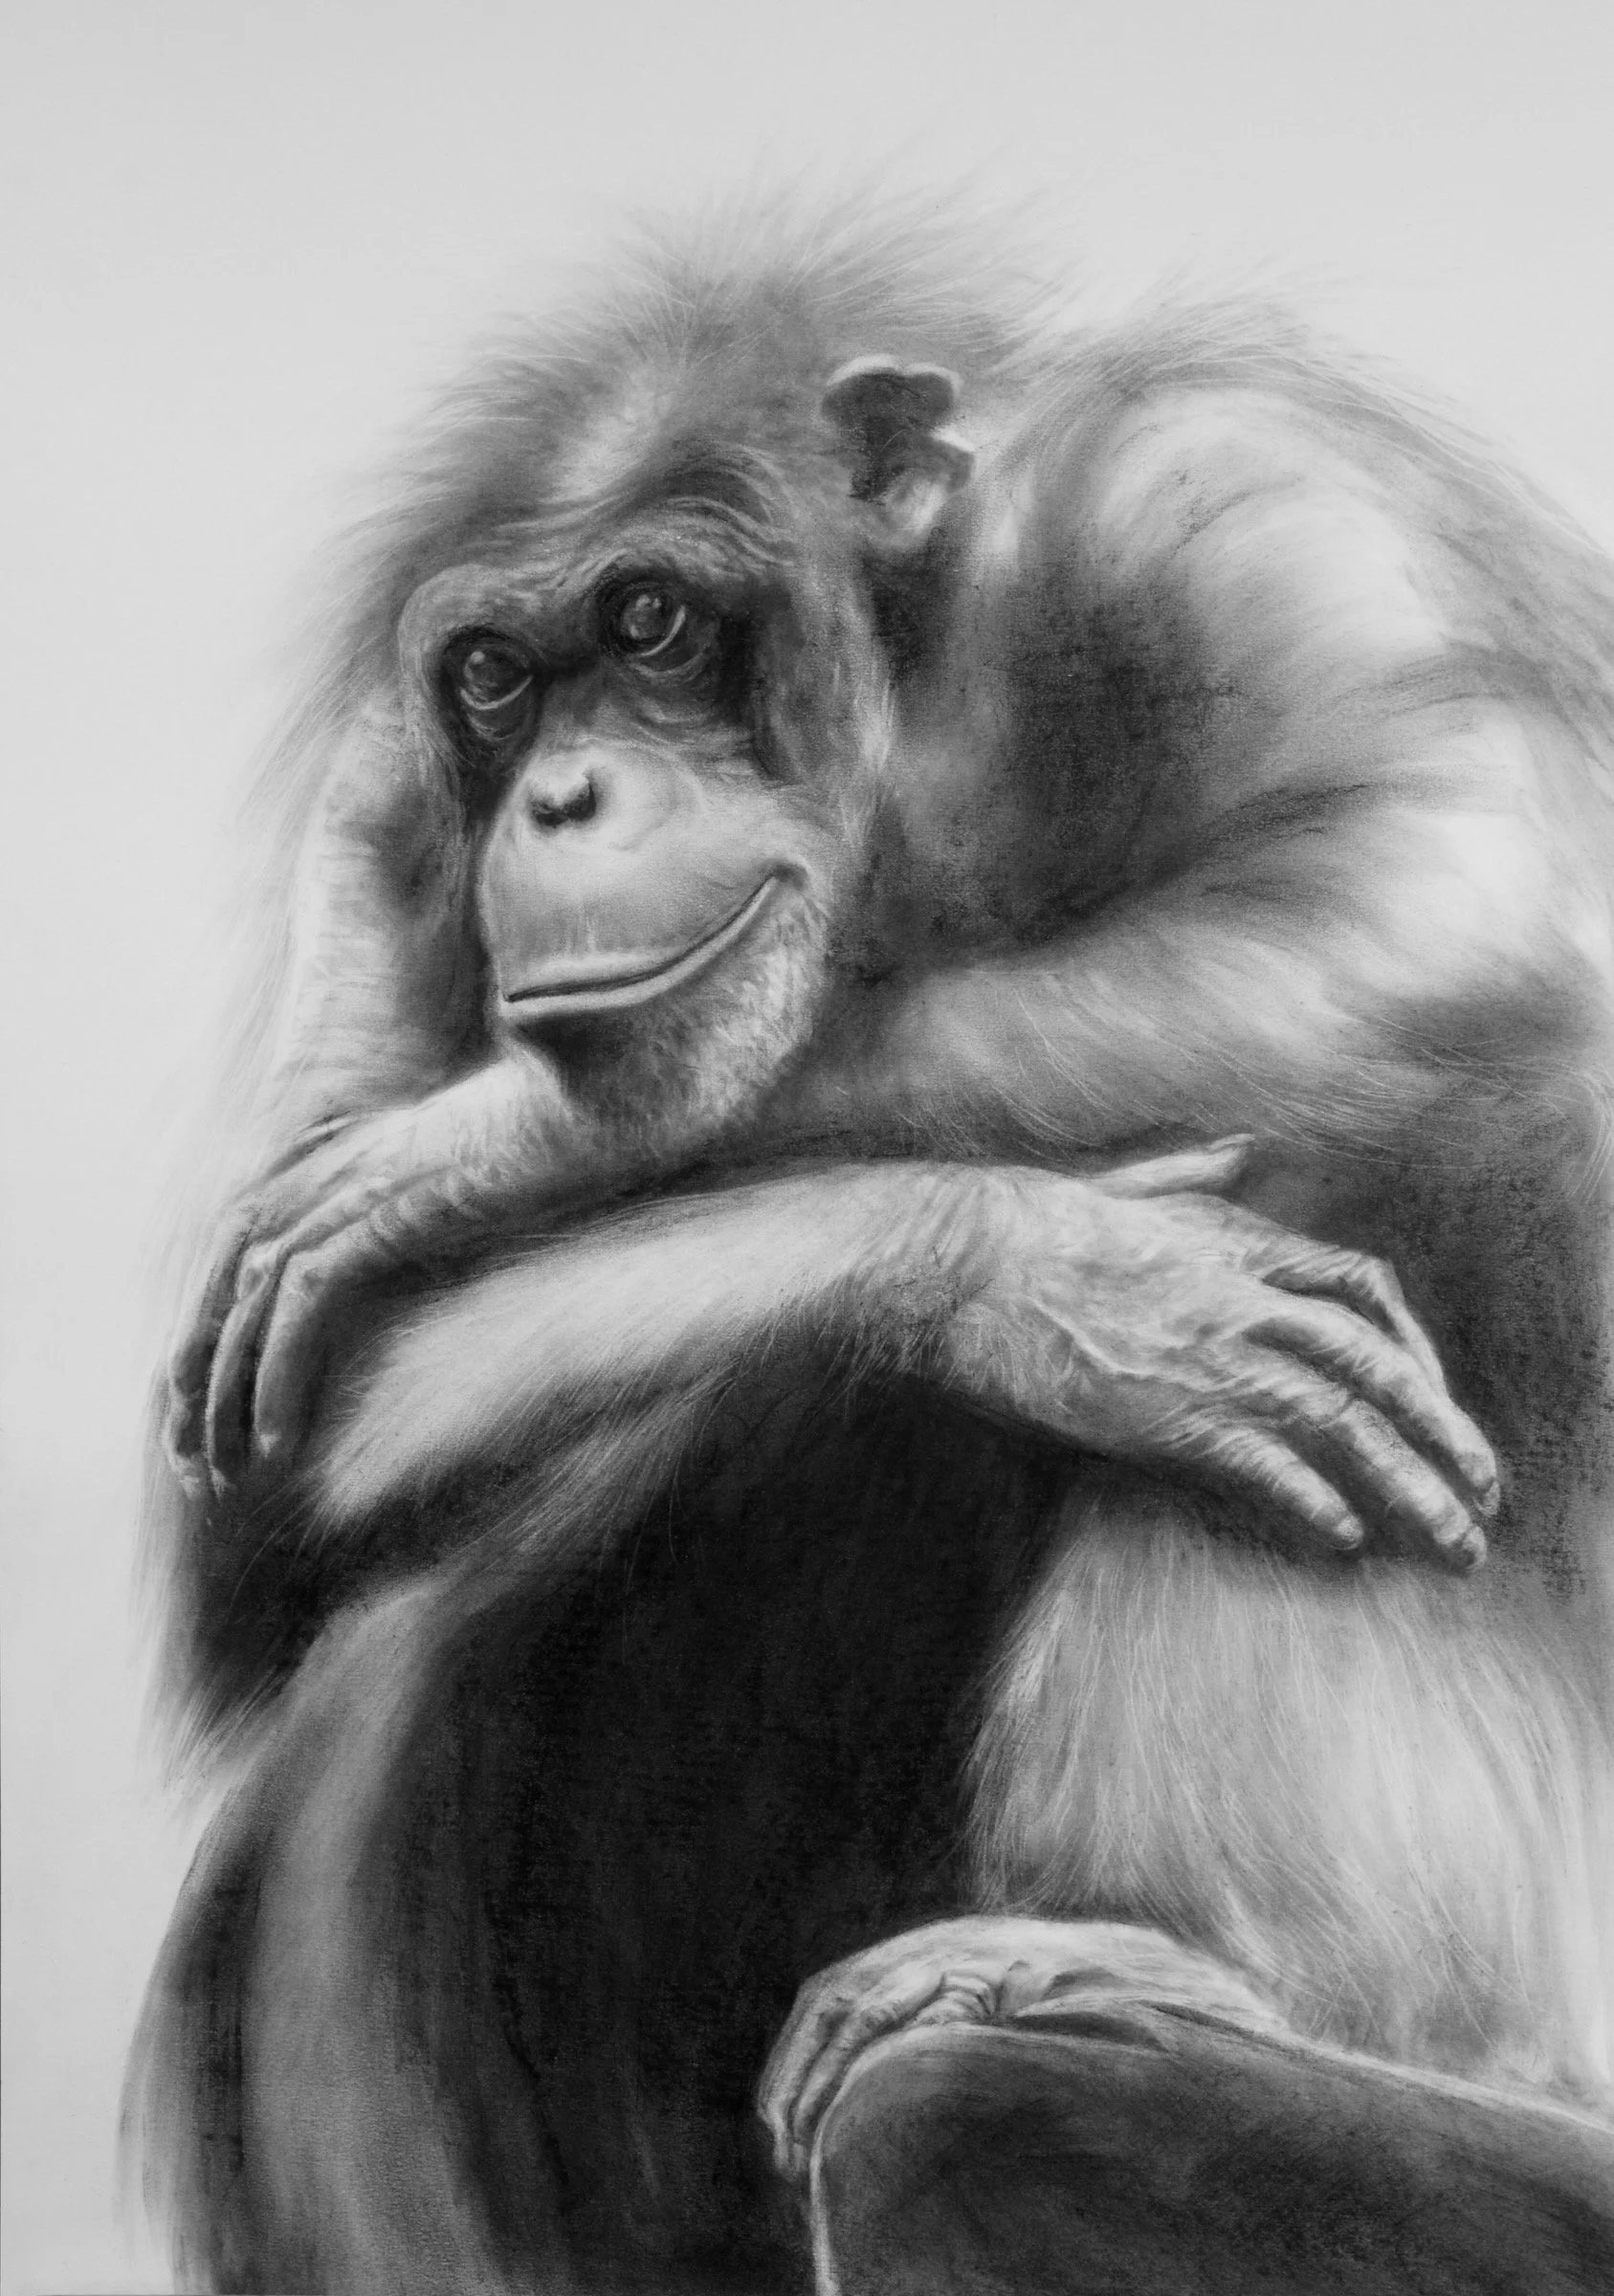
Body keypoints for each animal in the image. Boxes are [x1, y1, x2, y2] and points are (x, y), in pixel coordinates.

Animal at [136, 214, 1614, 2293]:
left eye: (652, 623)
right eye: (497, 673)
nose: (562, 795)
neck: (920, 738)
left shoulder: (1228, 499)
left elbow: (1445, 888)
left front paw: (476, 1141)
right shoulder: (376, 808)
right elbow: (273, 1511)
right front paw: (1041, 1286)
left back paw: (1184, 1974)